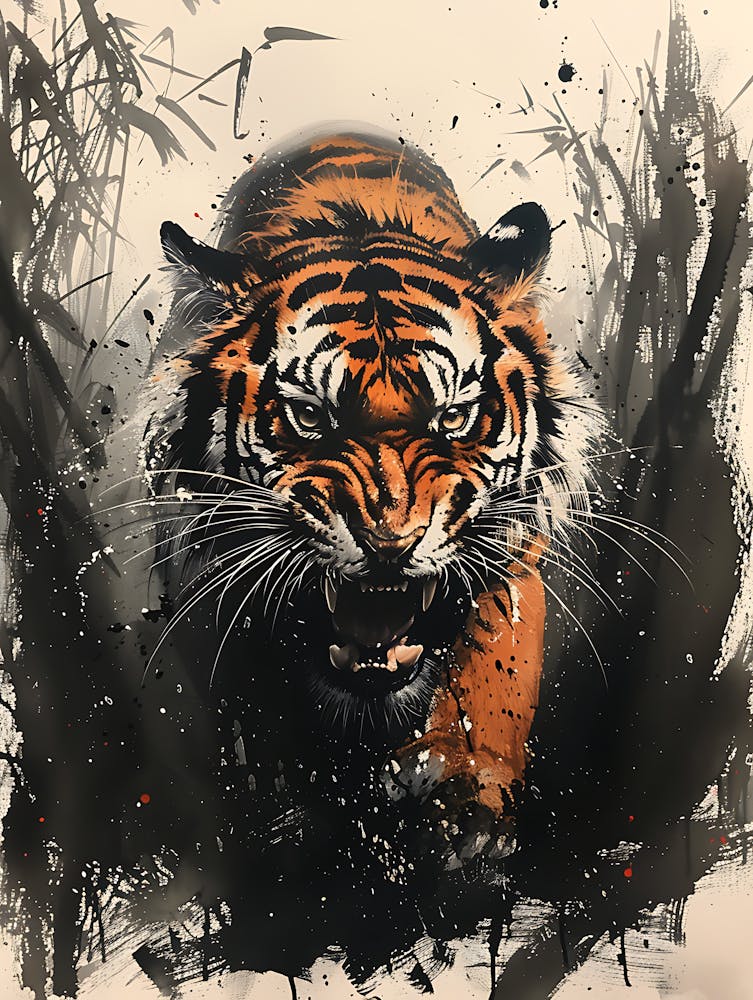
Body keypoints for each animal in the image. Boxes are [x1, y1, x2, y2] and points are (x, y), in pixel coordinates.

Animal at [144, 127, 596, 866]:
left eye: (451, 416)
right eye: (309, 416)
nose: (390, 542)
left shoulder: (512, 557)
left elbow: (494, 672)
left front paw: (466, 793)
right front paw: (294, 809)